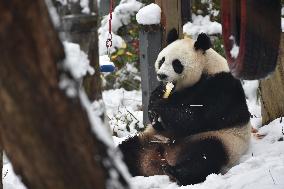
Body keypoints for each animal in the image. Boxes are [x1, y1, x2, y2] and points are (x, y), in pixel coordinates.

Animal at [118, 32, 252, 186]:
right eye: (162, 60)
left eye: (176, 64)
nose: (161, 75)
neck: (206, 67)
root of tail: (163, 158)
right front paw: (155, 105)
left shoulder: (221, 88)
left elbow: (194, 118)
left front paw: (160, 107)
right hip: (148, 141)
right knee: (127, 150)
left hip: (223, 140)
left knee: (206, 155)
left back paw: (176, 173)